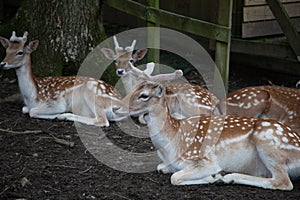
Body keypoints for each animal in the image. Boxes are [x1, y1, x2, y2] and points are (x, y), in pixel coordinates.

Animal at [113, 81, 300, 191]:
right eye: (132, 90)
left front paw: (212, 177)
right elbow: (163, 168)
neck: (171, 146)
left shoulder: (205, 160)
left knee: (283, 182)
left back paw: (228, 177)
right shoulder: (168, 163)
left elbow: (175, 177)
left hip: (269, 142)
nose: (117, 108)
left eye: (144, 95)